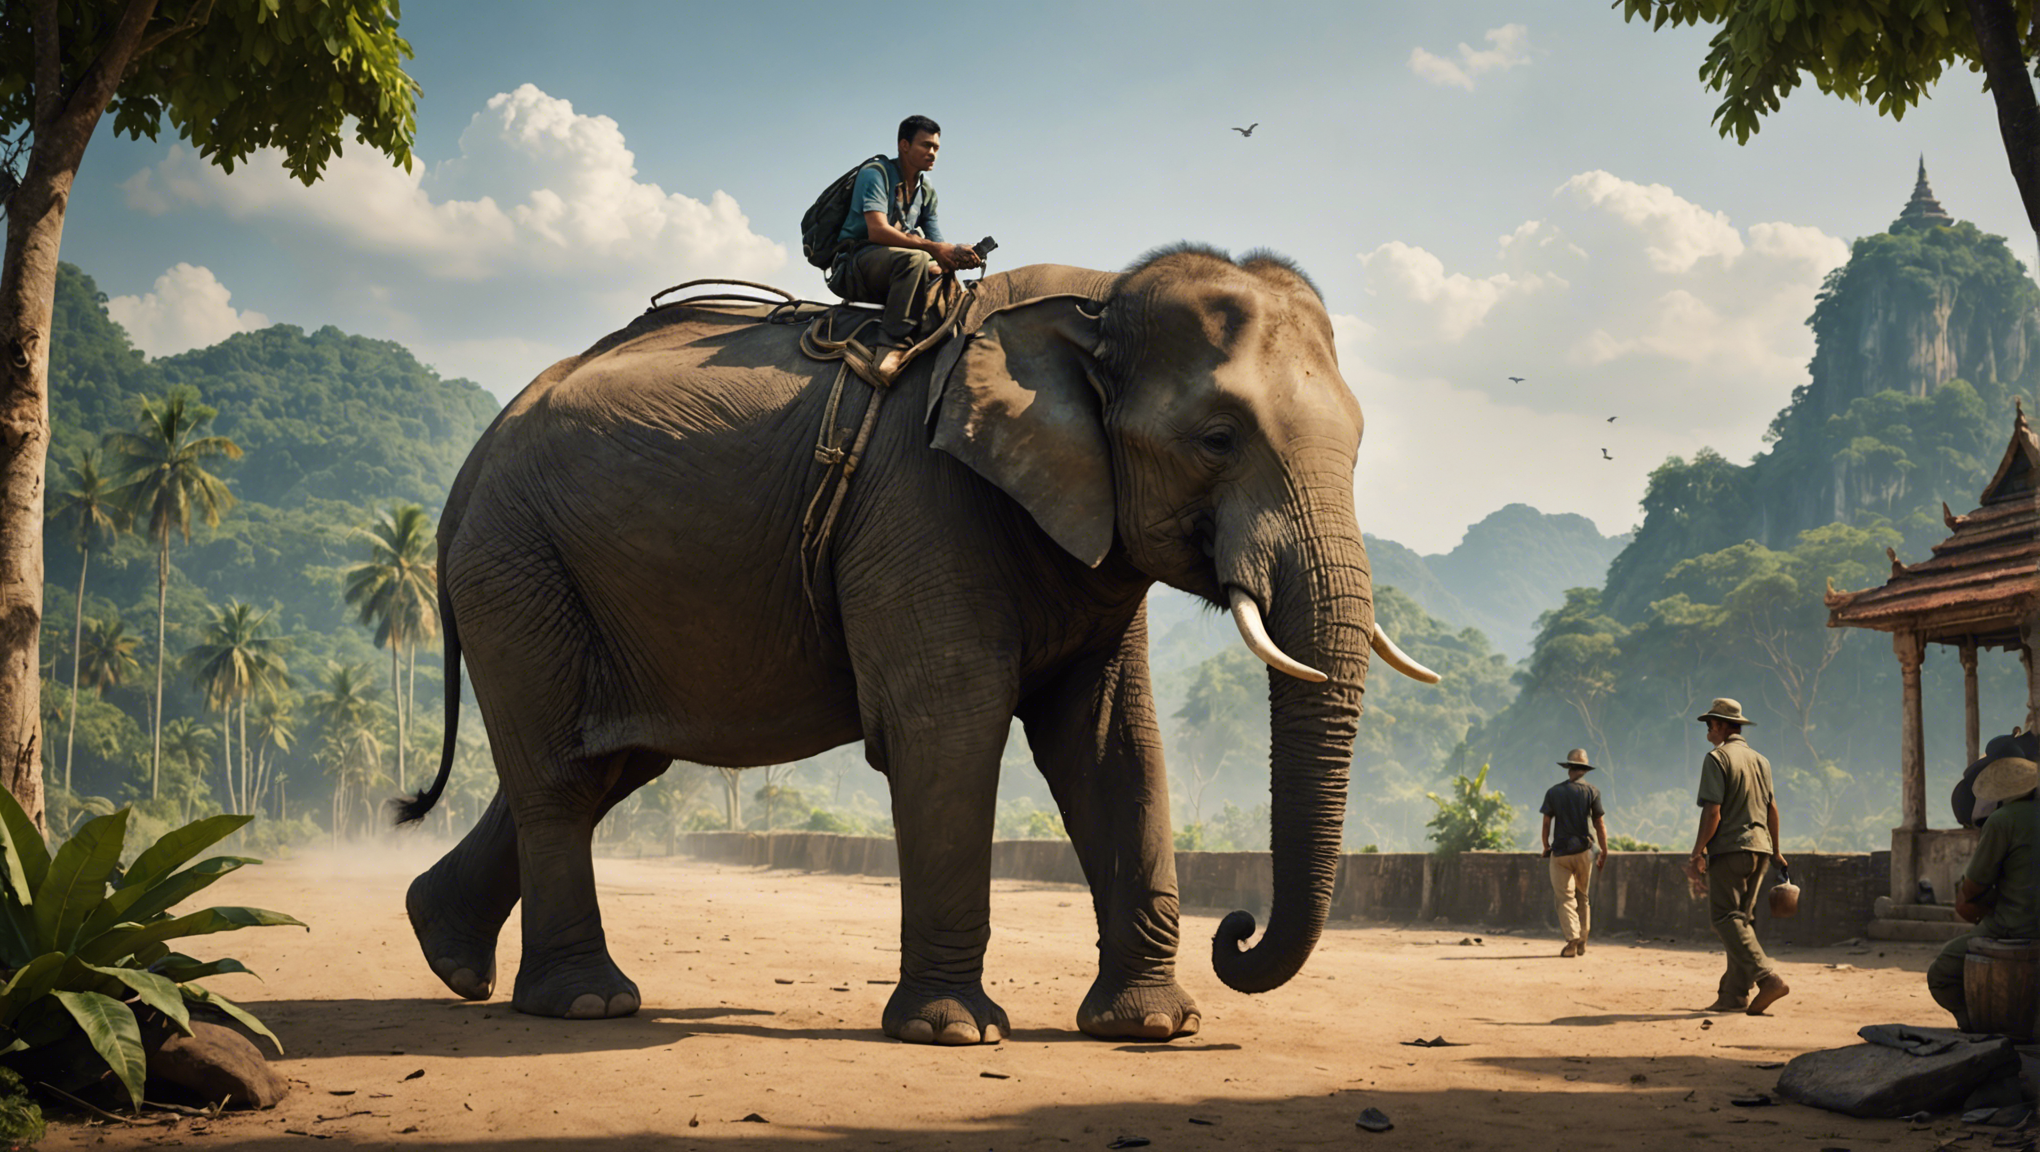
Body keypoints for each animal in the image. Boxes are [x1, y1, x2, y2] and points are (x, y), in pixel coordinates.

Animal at [398, 245, 1438, 1045]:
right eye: (1218, 438)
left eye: (1356, 448)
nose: (1239, 928)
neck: (1096, 298)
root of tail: (461, 481)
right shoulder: (920, 503)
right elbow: (948, 727)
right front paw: (955, 1032)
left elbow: (1111, 744)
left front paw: (1152, 1028)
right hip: (516, 567)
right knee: (565, 776)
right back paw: (586, 1005)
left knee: (608, 765)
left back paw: (449, 956)